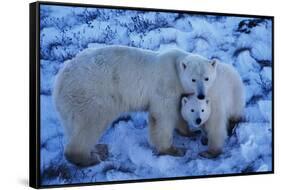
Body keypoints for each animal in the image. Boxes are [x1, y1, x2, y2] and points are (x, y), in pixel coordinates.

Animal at [53, 45, 196, 166]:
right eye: (195, 79)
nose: (200, 94)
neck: (175, 66)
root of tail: (60, 80)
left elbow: (178, 112)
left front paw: (189, 131)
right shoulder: (166, 85)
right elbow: (163, 116)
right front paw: (174, 150)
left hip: (70, 105)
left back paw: (99, 149)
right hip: (90, 94)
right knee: (92, 122)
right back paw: (90, 158)